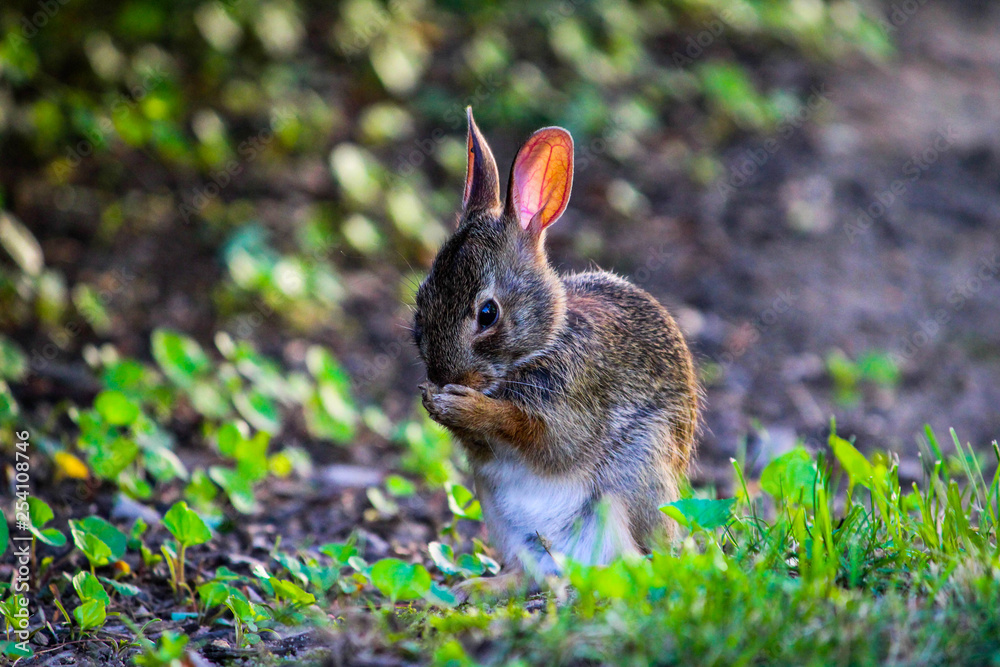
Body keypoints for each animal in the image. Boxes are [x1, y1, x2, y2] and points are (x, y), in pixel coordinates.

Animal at [412, 108, 696, 600]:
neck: (541, 344)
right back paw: (476, 587)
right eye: (422, 297)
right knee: (526, 572)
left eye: (487, 313)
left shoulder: (573, 404)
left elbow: (538, 435)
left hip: (632, 482)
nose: (445, 374)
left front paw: (464, 406)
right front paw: (436, 400)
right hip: (504, 520)